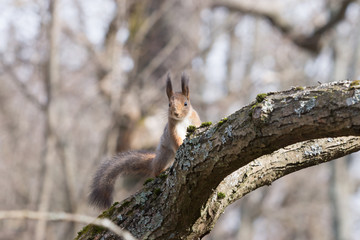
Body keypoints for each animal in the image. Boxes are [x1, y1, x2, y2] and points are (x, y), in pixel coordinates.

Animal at [88, 73, 201, 208]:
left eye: (185, 104)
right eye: (169, 104)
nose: (176, 113)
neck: (182, 120)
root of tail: (154, 161)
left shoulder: (195, 121)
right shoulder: (172, 129)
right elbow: (175, 139)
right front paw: (180, 145)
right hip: (165, 155)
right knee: (156, 171)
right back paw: (161, 170)